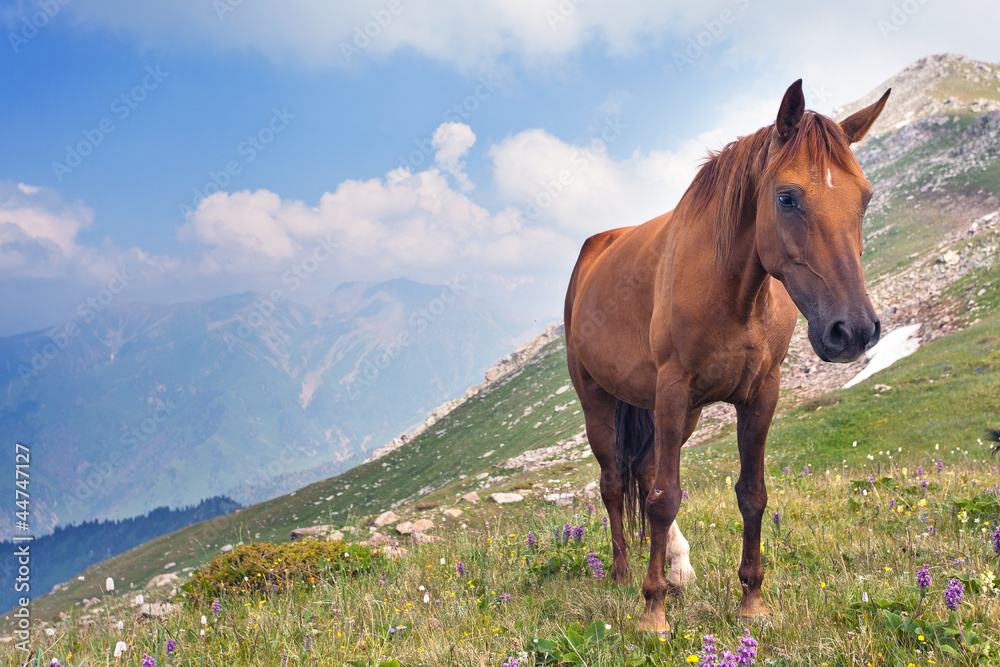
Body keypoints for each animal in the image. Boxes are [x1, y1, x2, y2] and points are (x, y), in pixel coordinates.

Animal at [564, 80, 890, 635]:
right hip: (600, 401)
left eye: (864, 199)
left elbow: (751, 494)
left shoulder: (759, 395)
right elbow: (663, 498)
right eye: (787, 197)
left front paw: (751, 601)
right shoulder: (673, 389)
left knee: (645, 472)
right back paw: (624, 573)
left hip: (684, 412)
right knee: (614, 483)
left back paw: (676, 569)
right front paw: (652, 612)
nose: (854, 331)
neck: (733, 294)